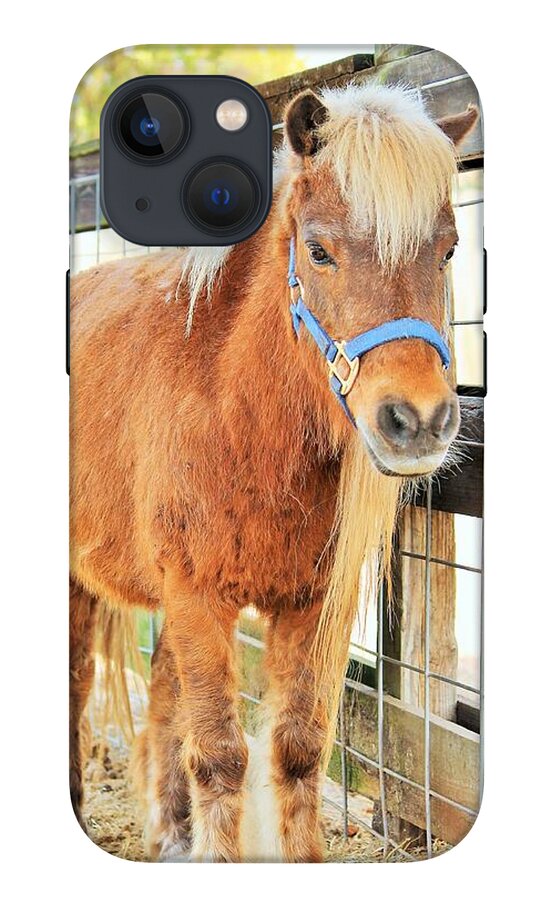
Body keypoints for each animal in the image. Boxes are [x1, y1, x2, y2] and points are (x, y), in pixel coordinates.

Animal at [69, 80, 478, 862]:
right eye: (317, 250)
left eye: (447, 251)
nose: (416, 420)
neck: (238, 414)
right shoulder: (197, 597)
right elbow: (221, 756)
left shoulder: (312, 605)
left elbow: (296, 749)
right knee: (78, 682)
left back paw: (170, 835)